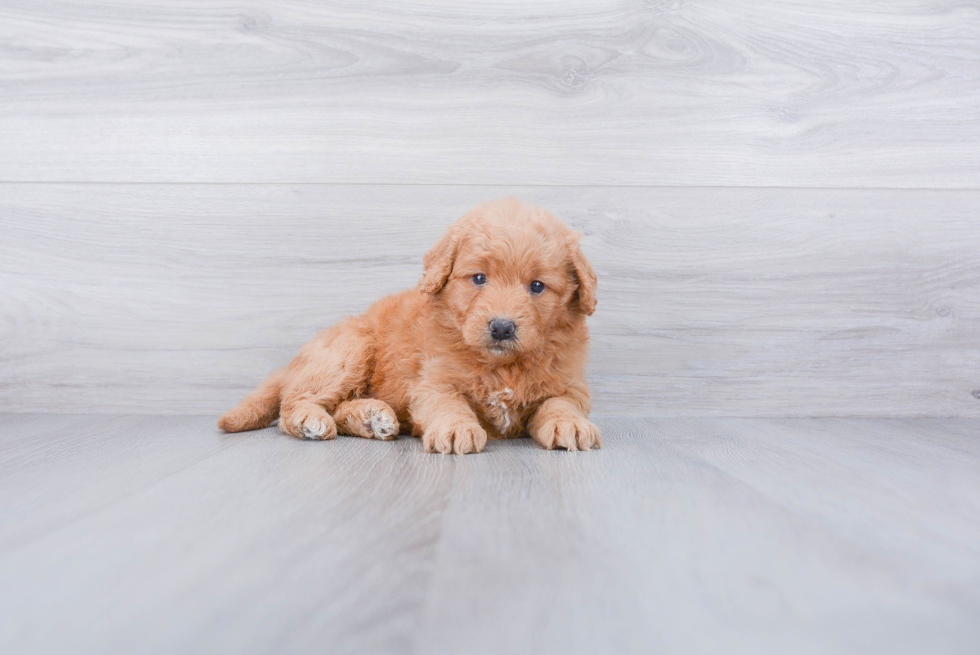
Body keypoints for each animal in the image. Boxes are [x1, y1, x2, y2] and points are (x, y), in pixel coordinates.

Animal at [219, 197, 600, 454]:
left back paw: (373, 418)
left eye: (537, 286)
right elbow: (449, 403)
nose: (502, 327)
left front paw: (570, 424)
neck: (502, 366)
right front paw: (455, 429)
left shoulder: (570, 384)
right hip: (349, 349)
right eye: (479, 278)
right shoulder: (433, 381)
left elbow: (559, 403)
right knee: (293, 401)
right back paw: (311, 421)